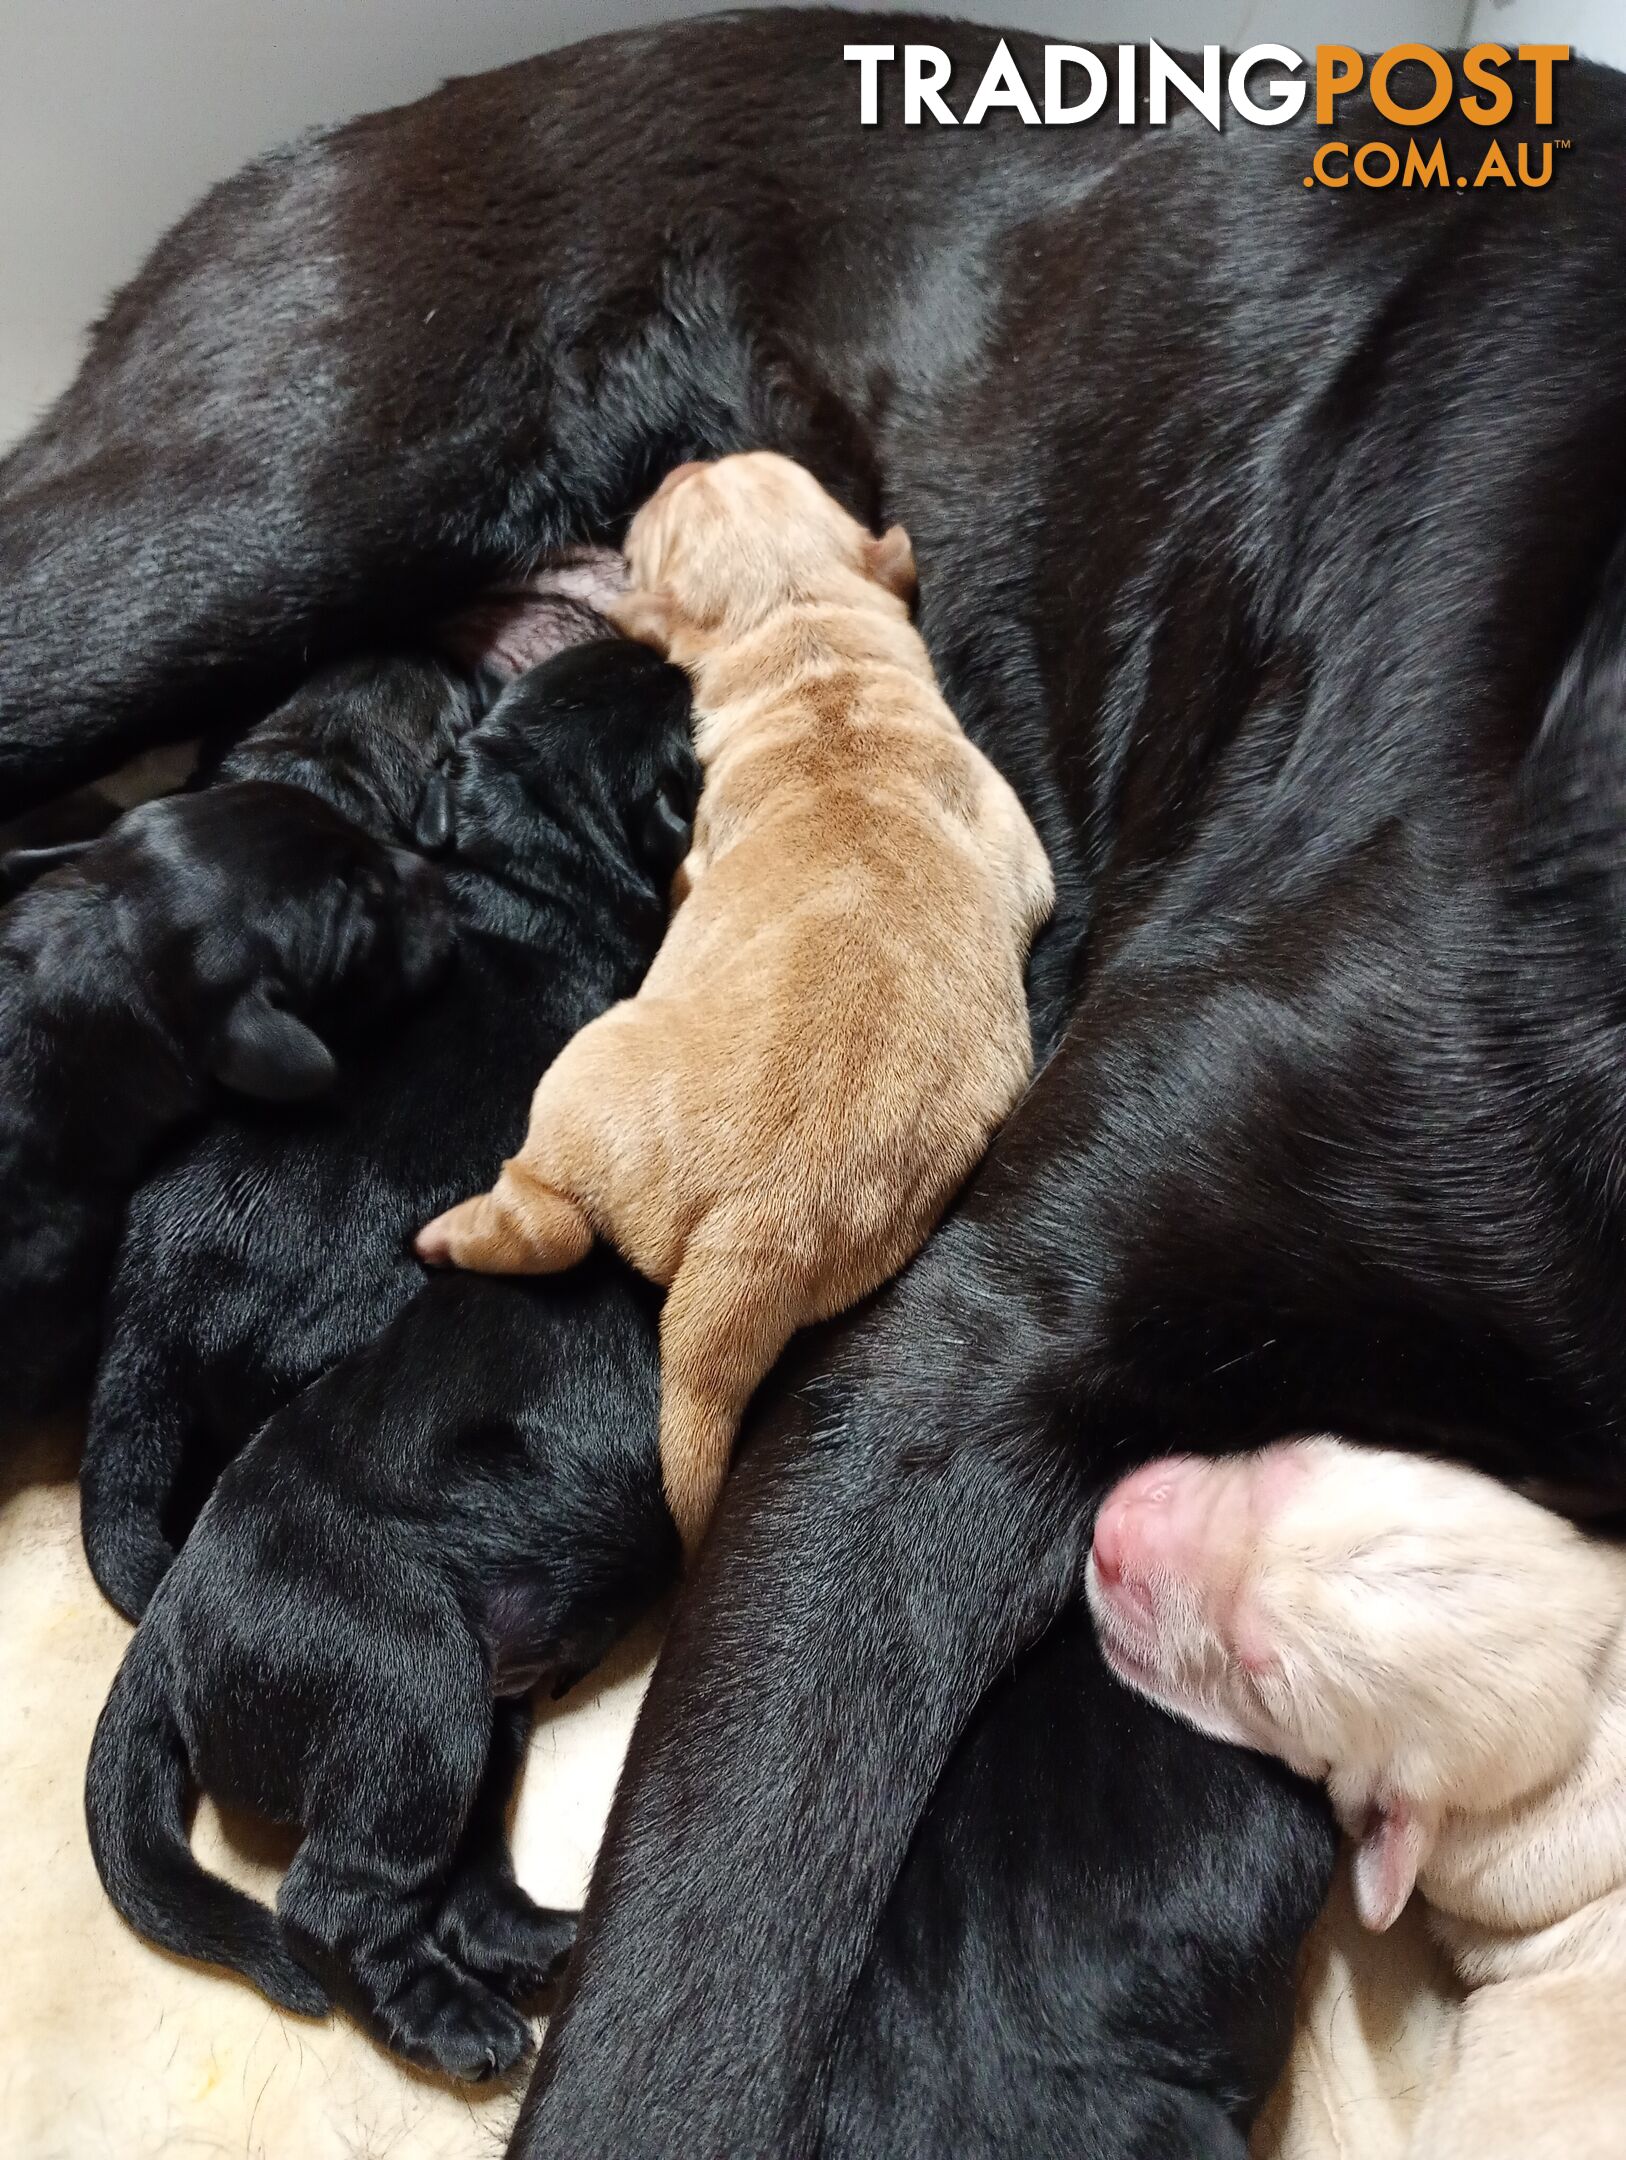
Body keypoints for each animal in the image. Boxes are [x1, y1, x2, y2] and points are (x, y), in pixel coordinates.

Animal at [418, 447, 1053, 1546]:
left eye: (660, 523)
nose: (692, 455)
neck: (809, 645)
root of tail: (750, 1237)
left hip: (582, 1074)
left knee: (549, 1223)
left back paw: (449, 1236)